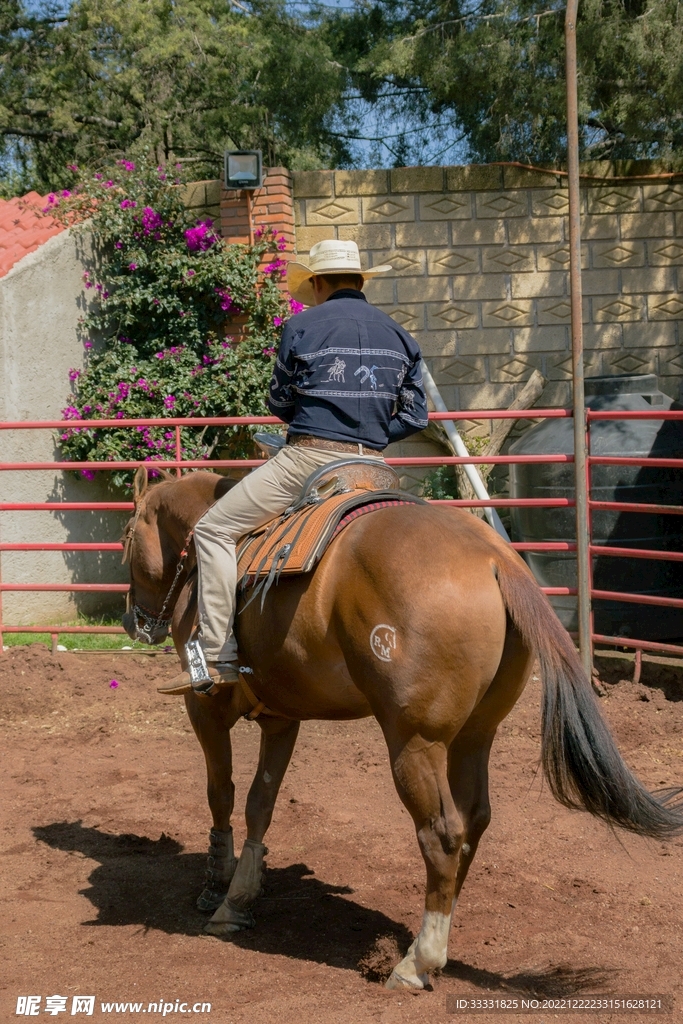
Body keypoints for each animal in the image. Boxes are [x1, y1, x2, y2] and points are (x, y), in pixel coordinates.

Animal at [121, 465, 683, 991]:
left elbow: (221, 792)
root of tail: (494, 559)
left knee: (443, 833)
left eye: (126, 535)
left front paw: (216, 887)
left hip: (414, 743)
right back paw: (433, 940)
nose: (134, 622)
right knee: (474, 821)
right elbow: (262, 801)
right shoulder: (283, 719)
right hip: (475, 736)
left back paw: (417, 962)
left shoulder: (206, 710)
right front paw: (241, 893)